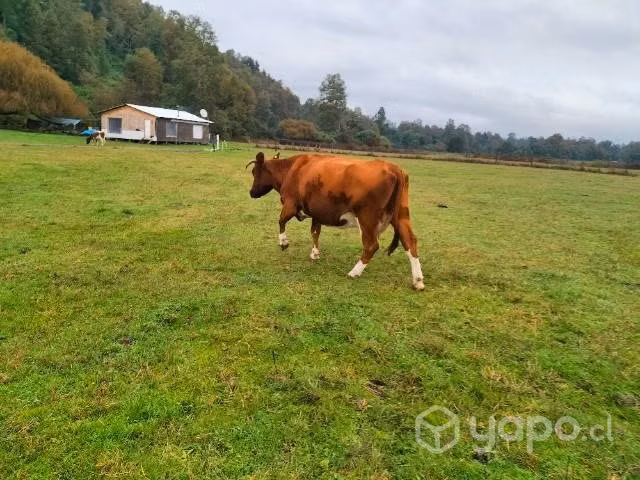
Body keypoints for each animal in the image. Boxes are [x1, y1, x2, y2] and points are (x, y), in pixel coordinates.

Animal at [246, 152, 425, 290]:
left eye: (254, 172)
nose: (251, 192)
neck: (291, 169)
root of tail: (393, 167)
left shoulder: (290, 204)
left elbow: (281, 221)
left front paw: (283, 242)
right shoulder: (317, 212)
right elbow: (315, 232)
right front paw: (315, 254)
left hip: (367, 217)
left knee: (371, 245)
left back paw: (354, 272)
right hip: (400, 215)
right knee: (410, 241)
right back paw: (418, 281)